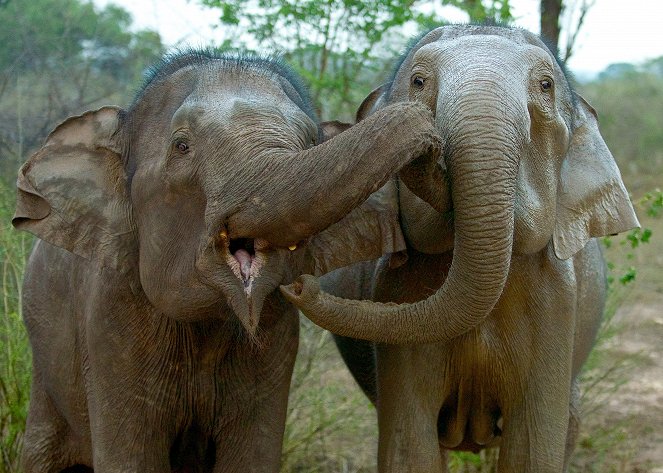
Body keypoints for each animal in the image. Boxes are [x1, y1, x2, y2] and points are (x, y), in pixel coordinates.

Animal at [11, 49, 446, 470]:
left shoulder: (275, 345)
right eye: (181, 146)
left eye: (312, 142)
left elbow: (255, 456)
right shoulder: (109, 323)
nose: (420, 99)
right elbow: (129, 459)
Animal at [282, 25, 644, 472]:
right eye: (418, 81)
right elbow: (409, 444)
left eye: (546, 85)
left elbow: (532, 446)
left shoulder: (557, 303)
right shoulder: (395, 288)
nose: (298, 286)